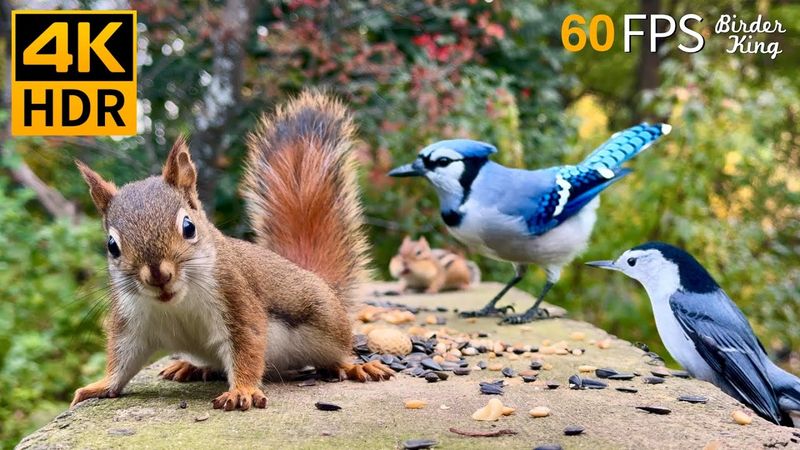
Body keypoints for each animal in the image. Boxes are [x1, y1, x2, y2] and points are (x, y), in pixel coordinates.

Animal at [71, 91, 393, 412]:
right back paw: (191, 367)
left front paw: (243, 390)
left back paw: (354, 366)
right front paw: (100, 386)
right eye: (112, 246)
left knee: (336, 355)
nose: (158, 275)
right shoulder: (132, 321)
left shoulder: (236, 297)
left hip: (327, 325)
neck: (176, 303)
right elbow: (122, 360)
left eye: (188, 227)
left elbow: (247, 346)